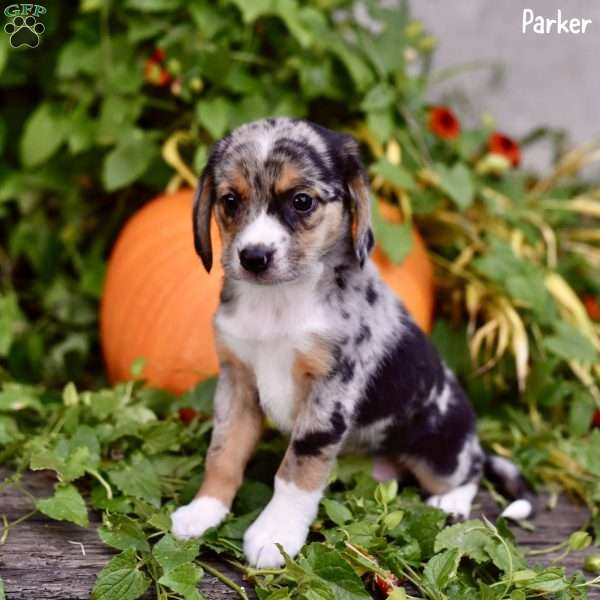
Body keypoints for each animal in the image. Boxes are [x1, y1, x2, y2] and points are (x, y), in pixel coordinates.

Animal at [169, 117, 528, 568]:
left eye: (302, 201)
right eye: (230, 200)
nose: (253, 257)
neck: (279, 303)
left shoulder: (329, 394)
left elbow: (296, 471)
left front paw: (275, 535)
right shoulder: (236, 384)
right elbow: (223, 453)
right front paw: (205, 510)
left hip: (440, 452)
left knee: (471, 469)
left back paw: (449, 503)